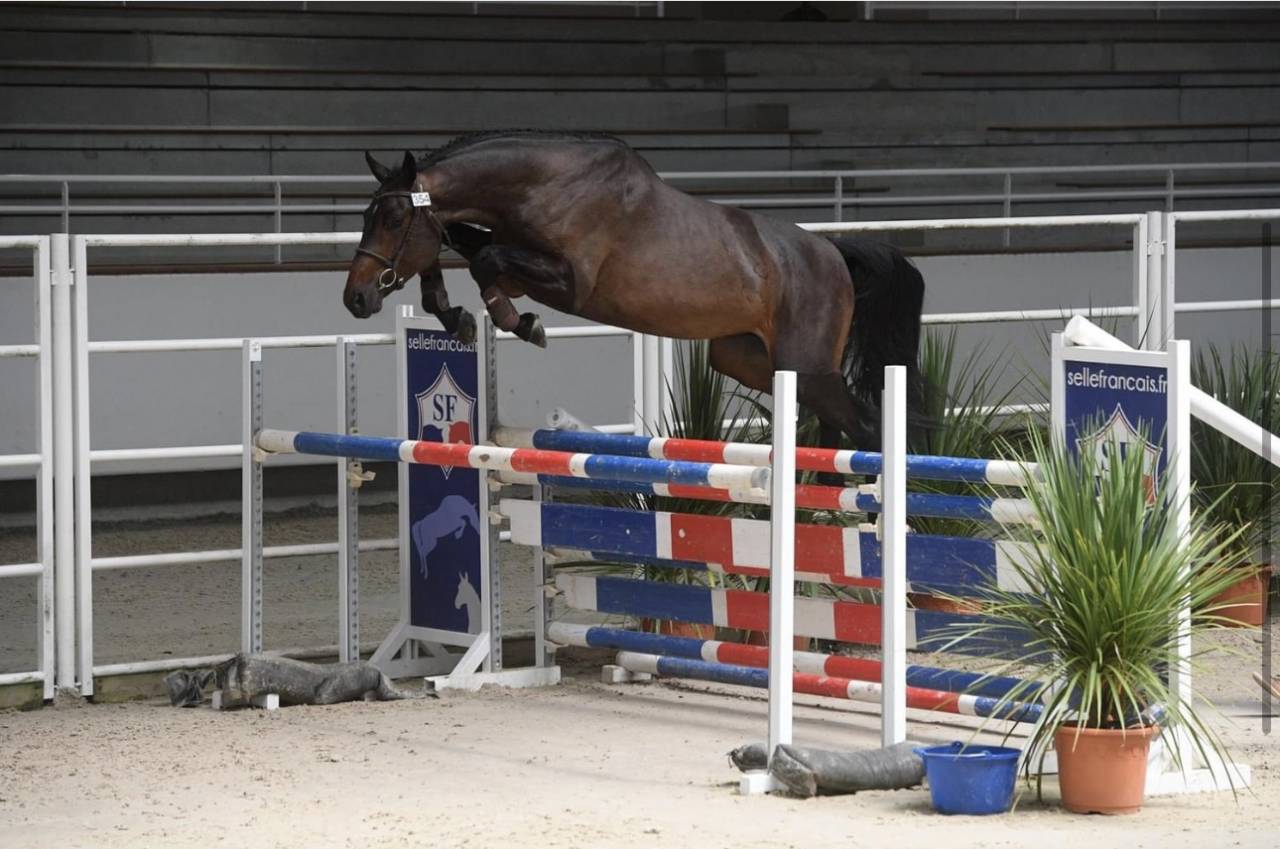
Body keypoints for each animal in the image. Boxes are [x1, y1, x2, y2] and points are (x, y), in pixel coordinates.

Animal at [344, 130, 925, 453]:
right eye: (368, 216)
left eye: (393, 219)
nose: (356, 298)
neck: (543, 184)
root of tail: (833, 254)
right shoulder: (508, 248)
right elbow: (459, 248)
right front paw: (456, 317)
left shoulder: (571, 283)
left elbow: (485, 260)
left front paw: (520, 324)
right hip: (752, 362)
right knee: (834, 422)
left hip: (805, 365)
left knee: (866, 425)